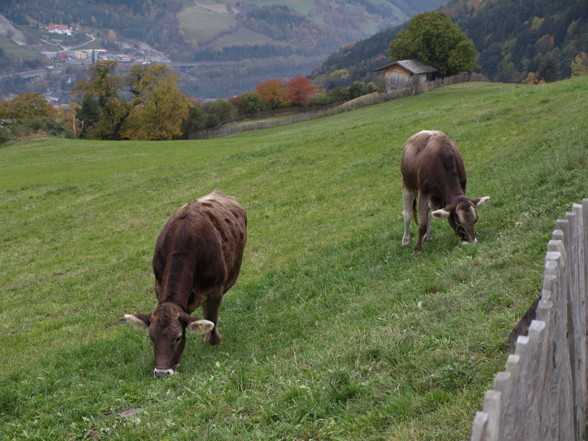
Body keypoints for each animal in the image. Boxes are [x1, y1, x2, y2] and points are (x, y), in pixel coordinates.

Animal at [125, 187, 247, 376]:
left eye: (178, 338)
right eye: (151, 338)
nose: (161, 373)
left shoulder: (216, 290)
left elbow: (211, 317)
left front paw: (213, 341)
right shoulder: (159, 286)